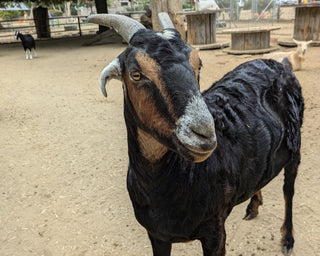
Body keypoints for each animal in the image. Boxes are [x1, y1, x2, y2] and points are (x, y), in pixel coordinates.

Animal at [87, 13, 302, 256]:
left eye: (198, 64)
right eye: (136, 74)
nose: (204, 134)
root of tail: (281, 64)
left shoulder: (215, 231)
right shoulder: (156, 235)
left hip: (295, 146)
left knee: (288, 189)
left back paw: (287, 239)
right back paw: (253, 207)